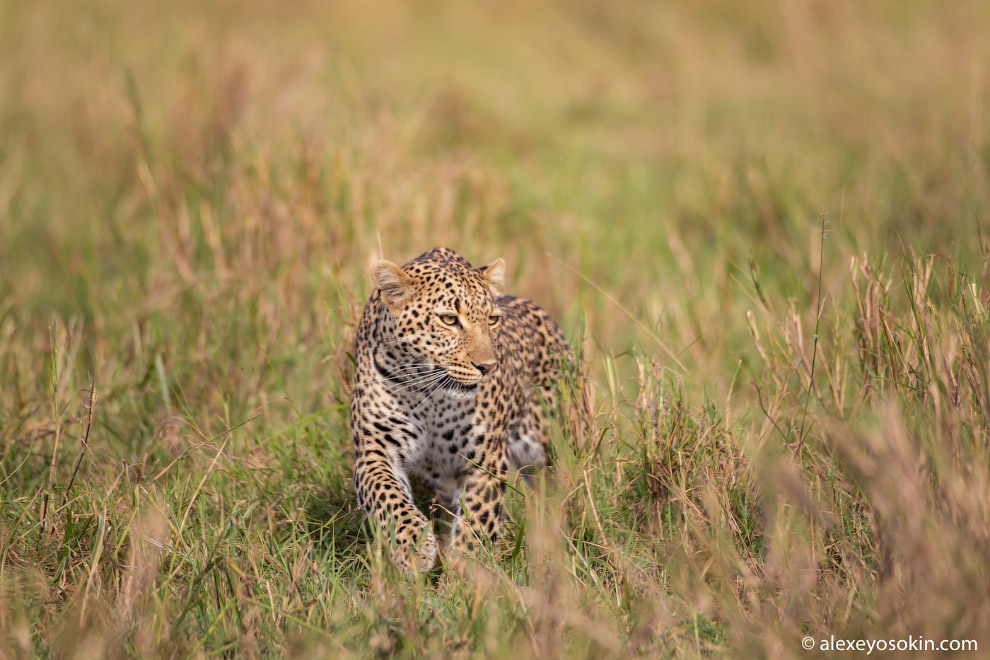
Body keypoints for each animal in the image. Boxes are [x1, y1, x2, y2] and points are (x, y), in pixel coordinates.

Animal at [350, 248, 564, 572]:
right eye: (450, 320)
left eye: (492, 320)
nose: (488, 367)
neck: (429, 393)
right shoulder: (374, 451)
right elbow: (389, 498)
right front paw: (414, 547)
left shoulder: (487, 457)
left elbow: (479, 514)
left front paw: (469, 566)